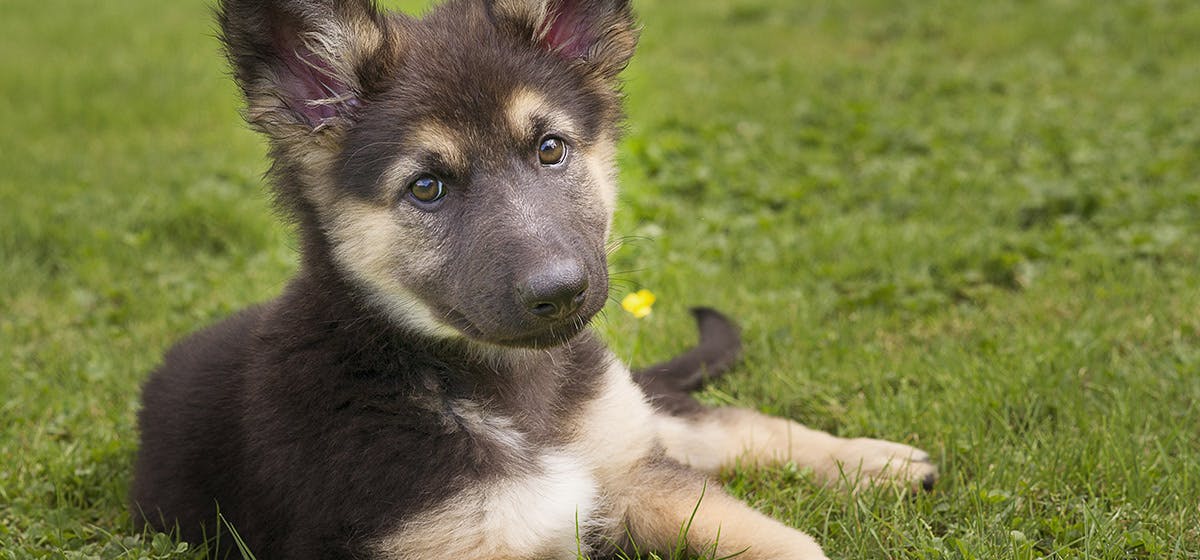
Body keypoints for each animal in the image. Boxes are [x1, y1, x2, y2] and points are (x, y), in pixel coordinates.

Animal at [131, 1, 936, 556]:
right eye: (427, 188)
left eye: (550, 148)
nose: (561, 293)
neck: (500, 395)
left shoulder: (635, 478)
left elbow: (792, 541)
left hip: (625, 424)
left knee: (714, 422)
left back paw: (878, 461)